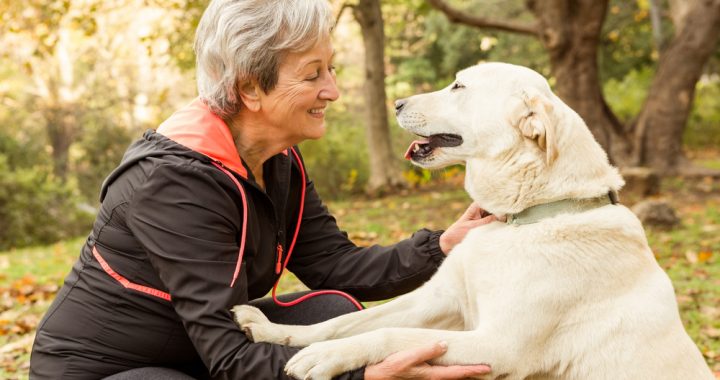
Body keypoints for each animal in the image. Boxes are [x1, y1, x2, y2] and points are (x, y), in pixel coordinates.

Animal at [232, 63, 716, 380]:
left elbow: (389, 336)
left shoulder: (496, 344)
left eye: (459, 85)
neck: (522, 218)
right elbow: (338, 324)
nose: (397, 102)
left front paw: (325, 357)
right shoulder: (437, 300)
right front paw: (274, 331)